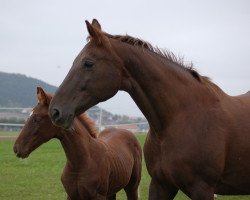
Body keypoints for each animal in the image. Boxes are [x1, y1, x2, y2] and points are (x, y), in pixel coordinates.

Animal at [13, 87, 142, 200]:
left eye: (36, 118)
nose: (16, 148)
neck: (80, 164)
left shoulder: (98, 196)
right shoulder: (71, 196)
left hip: (132, 187)